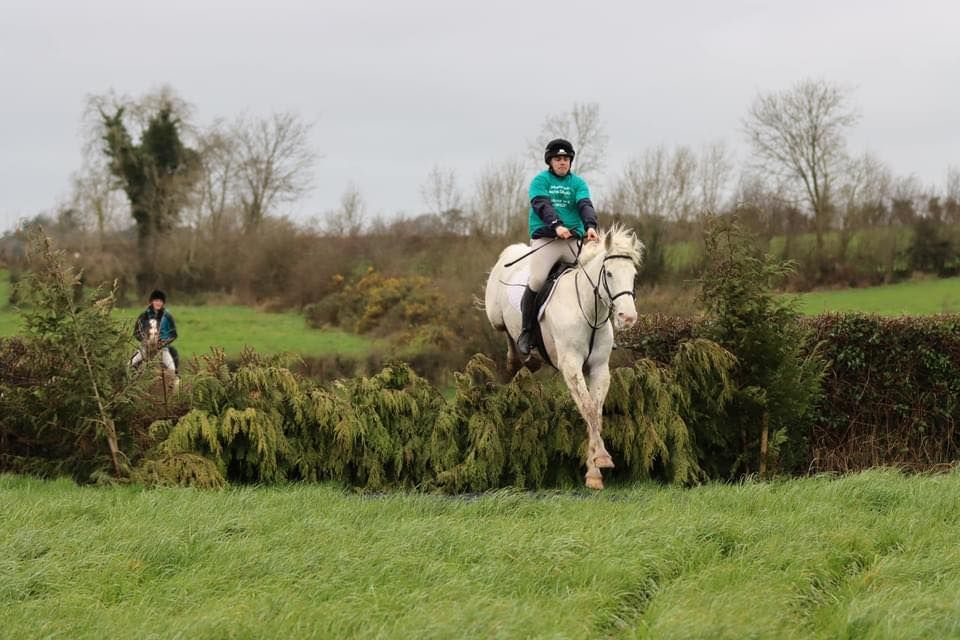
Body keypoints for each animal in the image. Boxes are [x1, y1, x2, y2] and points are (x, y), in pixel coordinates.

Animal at [488, 225, 644, 490]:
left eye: (633, 274)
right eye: (609, 273)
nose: (627, 317)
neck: (589, 311)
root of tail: (512, 251)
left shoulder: (599, 368)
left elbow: (595, 412)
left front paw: (594, 472)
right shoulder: (571, 366)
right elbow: (588, 409)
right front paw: (601, 459)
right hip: (495, 317)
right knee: (506, 334)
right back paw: (518, 355)